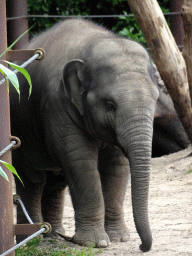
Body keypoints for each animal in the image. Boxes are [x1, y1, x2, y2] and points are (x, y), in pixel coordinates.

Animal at [9, 18, 158, 252]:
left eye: (156, 99)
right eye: (110, 105)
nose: (143, 247)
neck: (93, 42)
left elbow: (117, 164)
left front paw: (119, 238)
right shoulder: (57, 104)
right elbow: (80, 161)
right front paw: (95, 243)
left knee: (55, 183)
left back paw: (54, 234)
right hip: (19, 132)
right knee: (32, 181)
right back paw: (33, 240)